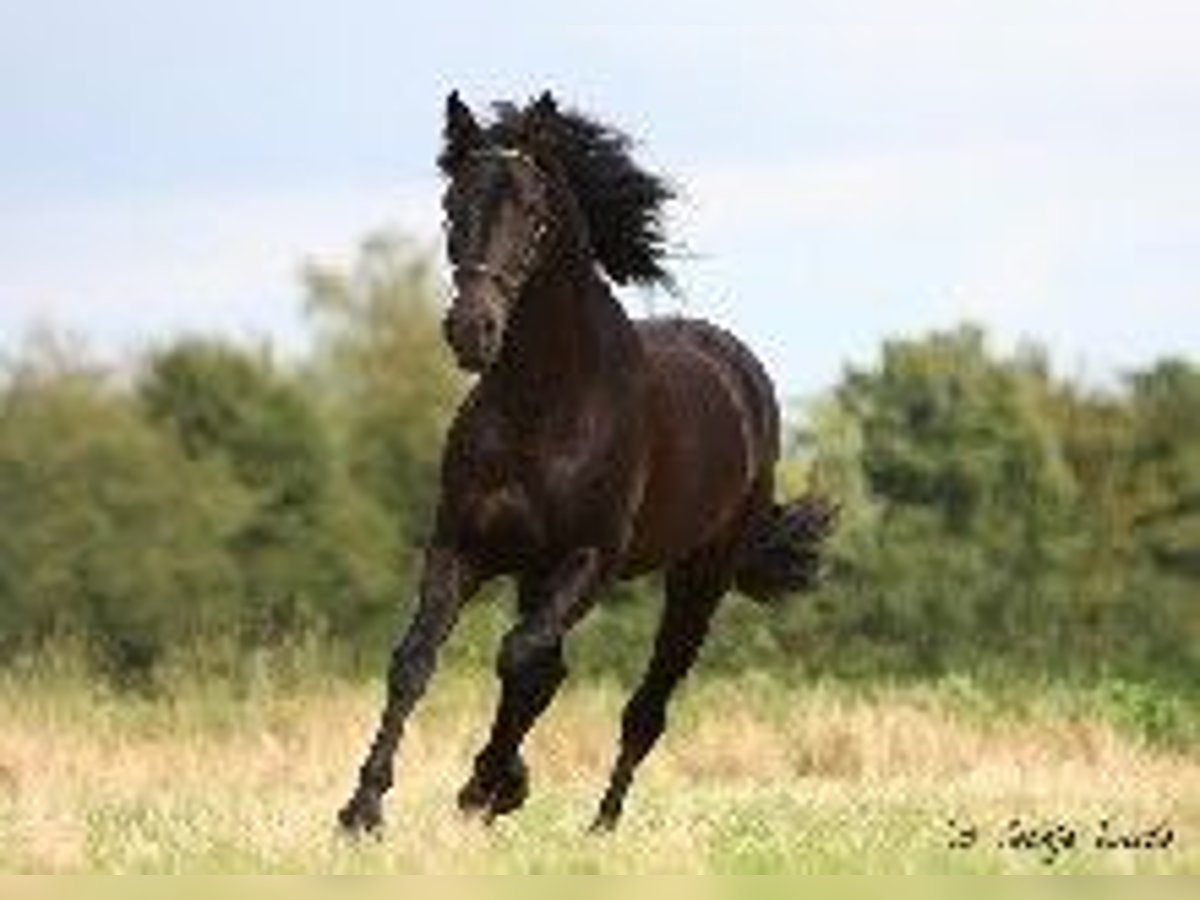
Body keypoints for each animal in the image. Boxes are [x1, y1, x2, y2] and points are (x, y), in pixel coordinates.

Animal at [333, 91, 830, 840]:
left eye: (535, 215)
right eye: (451, 208)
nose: (471, 331)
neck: (546, 404)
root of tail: (739, 370)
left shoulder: (588, 559)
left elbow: (517, 658)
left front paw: (484, 784)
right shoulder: (461, 546)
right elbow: (416, 660)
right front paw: (364, 809)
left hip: (699, 578)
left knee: (645, 706)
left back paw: (599, 822)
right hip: (537, 574)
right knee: (550, 669)